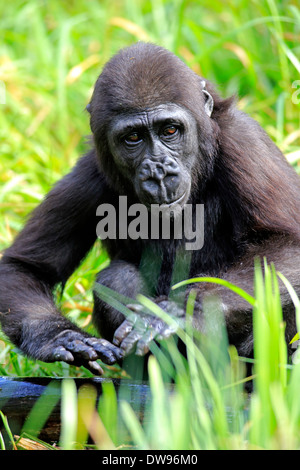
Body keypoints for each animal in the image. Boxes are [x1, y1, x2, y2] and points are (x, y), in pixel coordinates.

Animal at [0, 44, 300, 374]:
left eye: (170, 130)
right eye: (133, 137)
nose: (158, 172)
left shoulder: (245, 141)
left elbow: (286, 245)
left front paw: (181, 311)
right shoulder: (89, 174)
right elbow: (24, 268)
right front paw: (58, 336)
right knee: (117, 278)